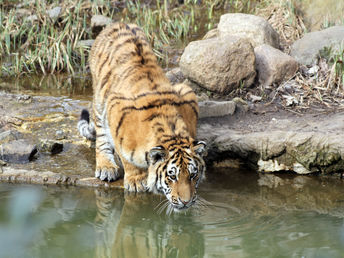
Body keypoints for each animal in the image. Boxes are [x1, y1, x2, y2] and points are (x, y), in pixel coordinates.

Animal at [78, 22, 207, 212]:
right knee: (101, 135)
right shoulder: (115, 107)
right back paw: (106, 166)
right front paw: (136, 180)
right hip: (100, 99)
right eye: (172, 177)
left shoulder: (187, 93)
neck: (170, 130)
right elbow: (126, 157)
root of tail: (118, 23)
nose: (186, 201)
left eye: (193, 175)